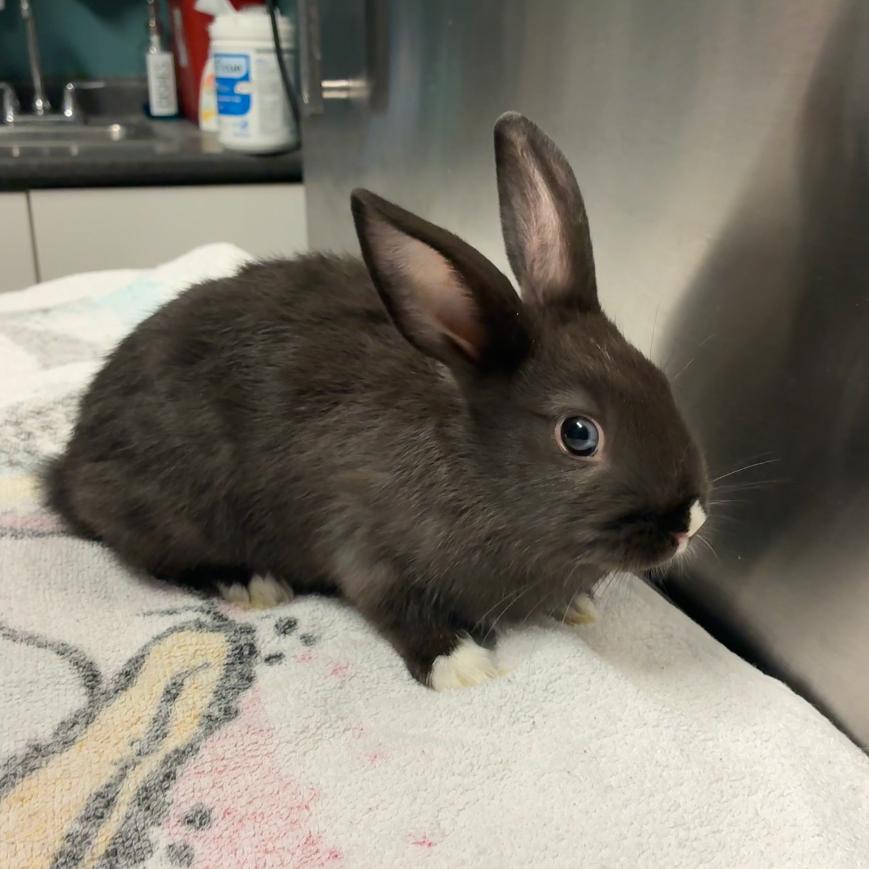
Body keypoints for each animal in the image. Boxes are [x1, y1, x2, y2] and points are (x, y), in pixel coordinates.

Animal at [44, 112, 709, 690]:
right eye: (578, 433)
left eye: (659, 381)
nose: (689, 522)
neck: (475, 471)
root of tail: (69, 466)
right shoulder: (366, 548)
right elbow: (397, 608)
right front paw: (464, 668)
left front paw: (577, 606)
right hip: (176, 508)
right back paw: (254, 583)